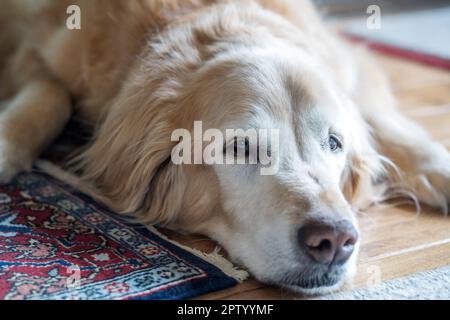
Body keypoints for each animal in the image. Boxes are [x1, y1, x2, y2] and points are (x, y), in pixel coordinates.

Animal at [0, 0, 450, 296]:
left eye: (334, 143)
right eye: (240, 147)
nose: (335, 241)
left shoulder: (351, 63)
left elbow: (377, 117)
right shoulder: (31, 48)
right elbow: (53, 94)